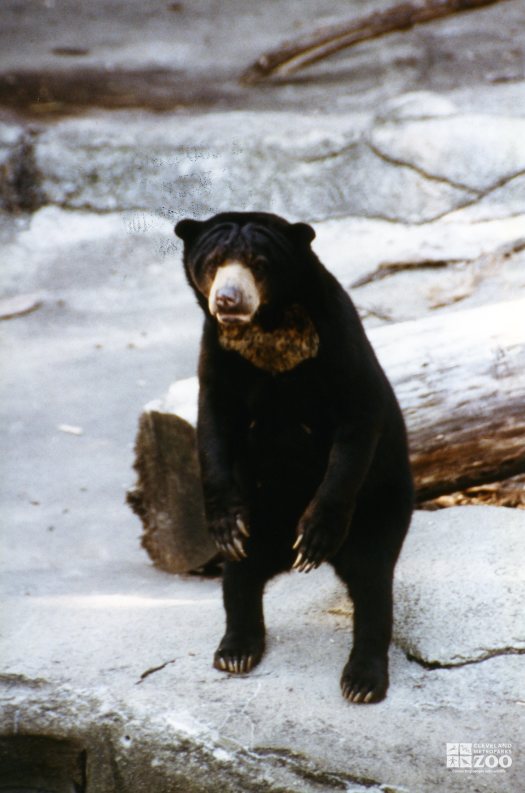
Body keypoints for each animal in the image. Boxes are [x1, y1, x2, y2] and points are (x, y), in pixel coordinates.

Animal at [176, 212, 414, 704]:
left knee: (372, 581)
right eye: (212, 262)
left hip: (381, 503)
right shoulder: (218, 355)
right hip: (260, 511)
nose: (227, 300)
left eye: (258, 263)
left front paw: (314, 536)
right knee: (240, 573)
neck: (268, 329)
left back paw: (362, 680)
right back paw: (236, 650)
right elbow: (213, 426)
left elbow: (356, 421)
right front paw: (224, 524)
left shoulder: (339, 343)